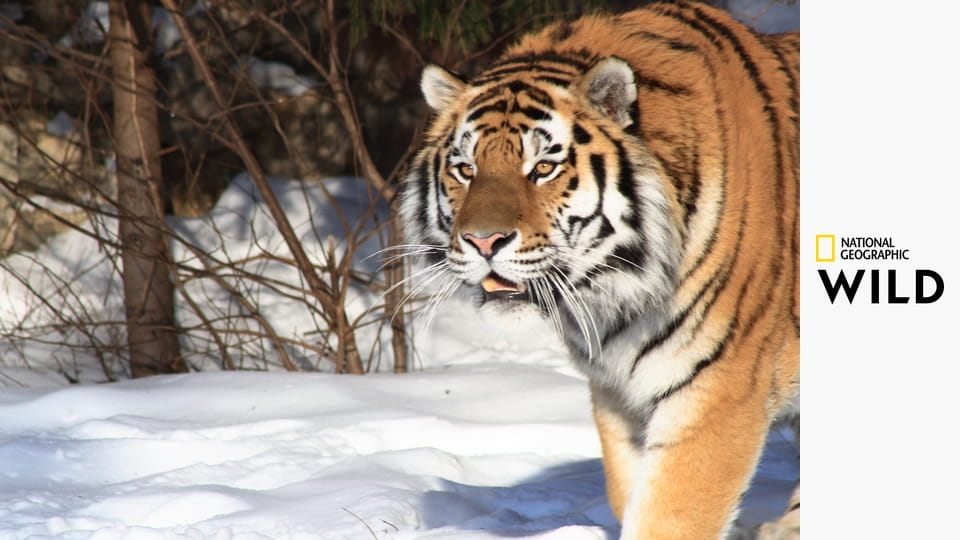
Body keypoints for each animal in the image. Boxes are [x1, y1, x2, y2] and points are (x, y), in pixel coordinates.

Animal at [398, 1, 799, 538]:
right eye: (466, 170)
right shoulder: (616, 390)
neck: (614, 292)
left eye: (542, 169)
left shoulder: (719, 388)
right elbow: (624, 490)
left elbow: (670, 514)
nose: (483, 241)